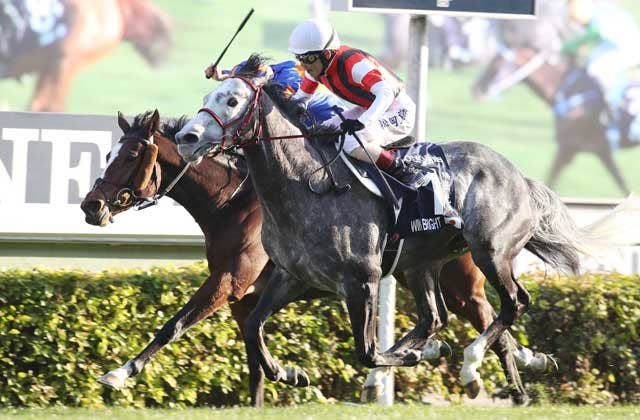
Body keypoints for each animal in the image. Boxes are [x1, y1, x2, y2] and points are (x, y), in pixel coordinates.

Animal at [81, 109, 554, 406]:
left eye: (130, 155)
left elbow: (175, 324)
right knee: (464, 320)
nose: (91, 206)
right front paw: (286, 379)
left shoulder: (231, 282)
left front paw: (120, 372)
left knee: (496, 315)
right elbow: (254, 353)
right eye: (107, 154)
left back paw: (501, 378)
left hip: (465, 277)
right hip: (419, 272)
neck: (233, 204)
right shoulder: (245, 297)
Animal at [473, 46, 639, 196]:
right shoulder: (600, 151)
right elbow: (621, 182)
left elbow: (551, 179)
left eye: (495, 64)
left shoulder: (568, 147)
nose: (476, 89)